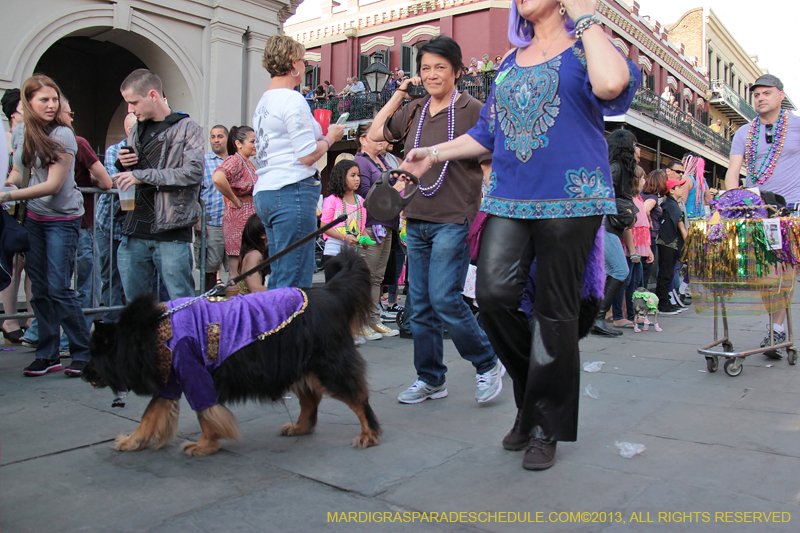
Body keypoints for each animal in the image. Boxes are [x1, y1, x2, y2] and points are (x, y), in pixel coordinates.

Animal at [83, 249, 380, 454]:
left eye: (93, 355)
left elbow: (205, 414)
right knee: (310, 400)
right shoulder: (172, 379)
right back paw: (300, 427)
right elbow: (150, 414)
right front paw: (131, 441)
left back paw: (369, 434)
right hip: (297, 364)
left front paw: (203, 445)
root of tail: (329, 293)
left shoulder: (195, 375)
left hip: (328, 366)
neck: (154, 331)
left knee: (358, 398)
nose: (85, 374)